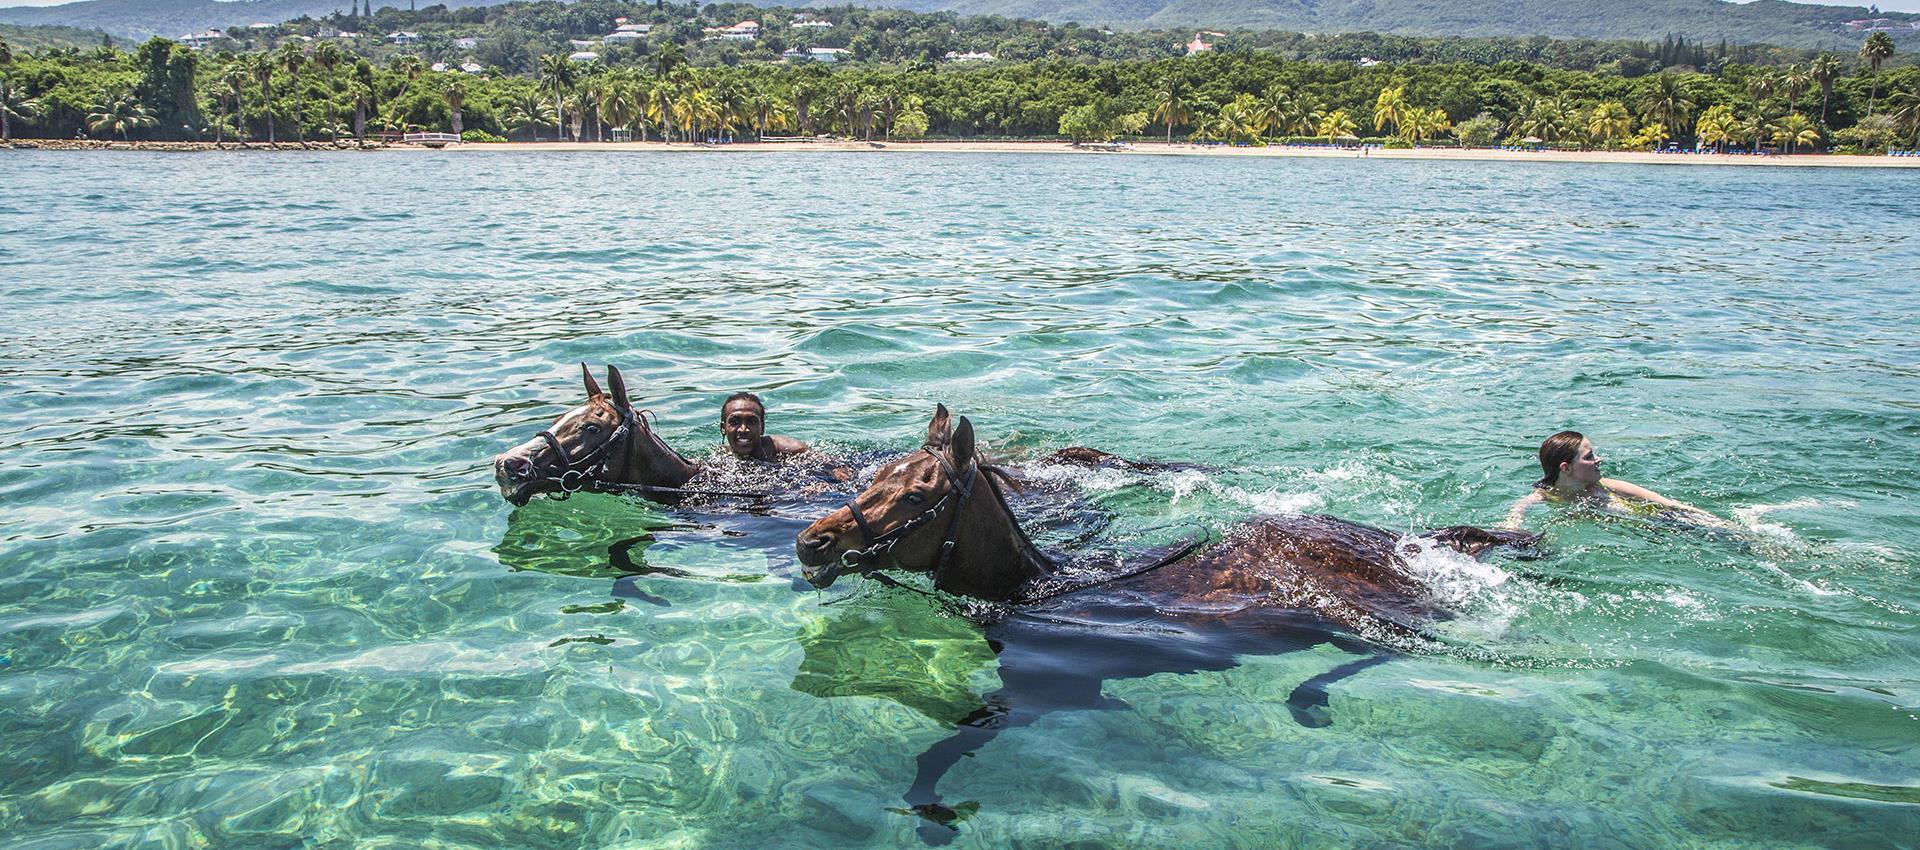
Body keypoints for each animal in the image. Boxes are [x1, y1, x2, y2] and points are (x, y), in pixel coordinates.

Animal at [793, 405, 1537, 842]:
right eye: (876, 476)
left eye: (917, 492)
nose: (812, 543)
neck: (1042, 590)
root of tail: (1406, 541)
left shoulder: (1049, 694)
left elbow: (940, 751)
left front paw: (932, 814)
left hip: (1358, 618)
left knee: (1402, 652)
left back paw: (1308, 697)